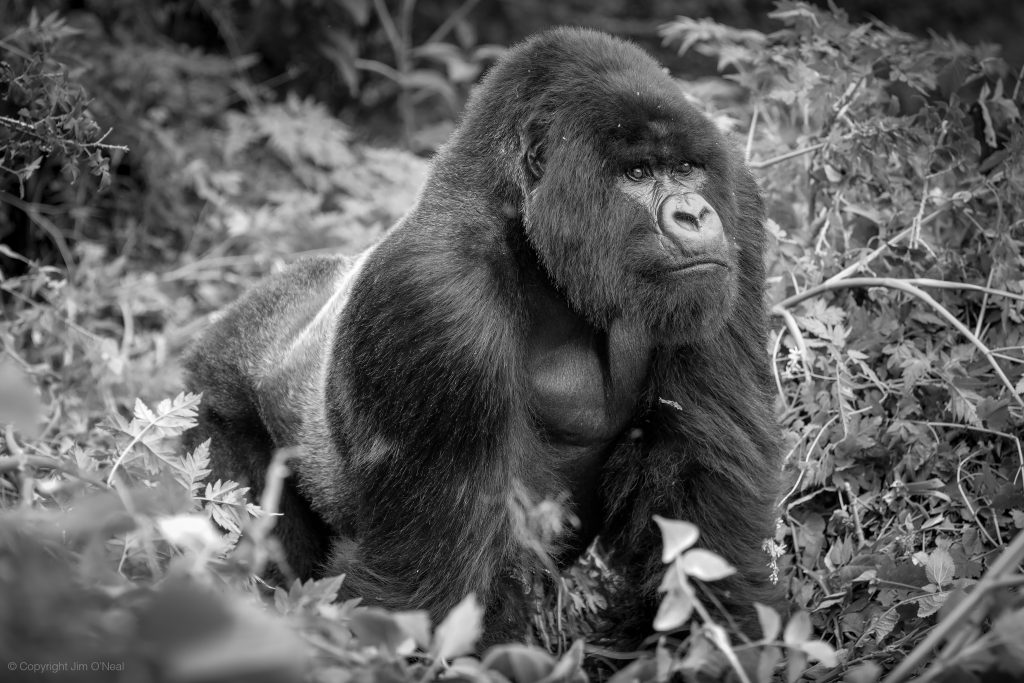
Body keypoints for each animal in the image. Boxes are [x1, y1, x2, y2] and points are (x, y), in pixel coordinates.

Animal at [184, 28, 782, 647]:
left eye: (686, 168)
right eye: (637, 174)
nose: (695, 215)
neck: (533, 243)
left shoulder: (737, 212)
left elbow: (704, 480)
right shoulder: (433, 293)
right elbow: (423, 586)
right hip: (216, 394)